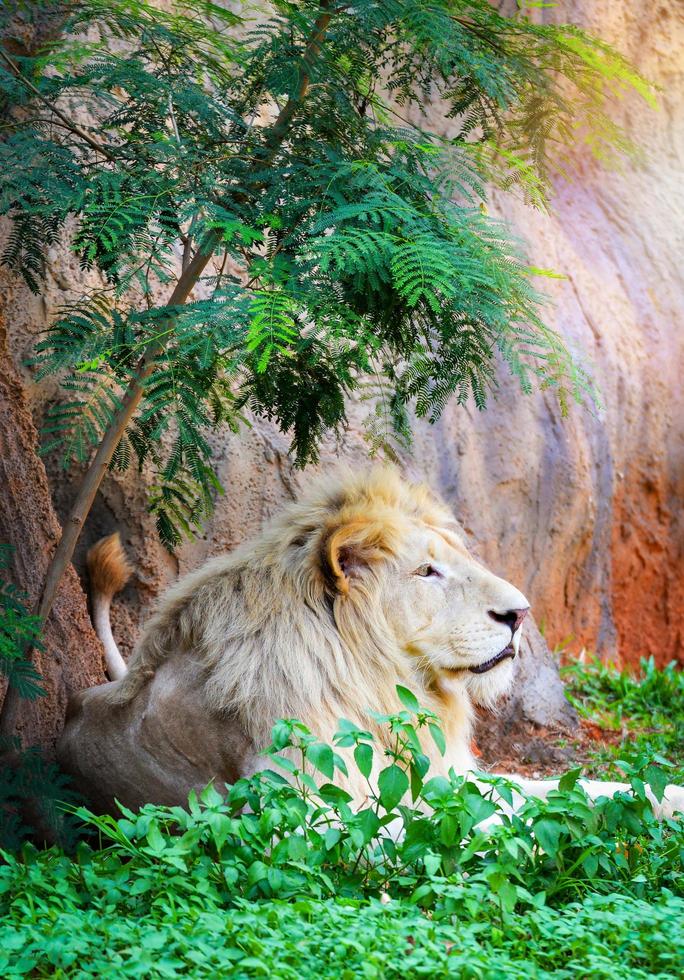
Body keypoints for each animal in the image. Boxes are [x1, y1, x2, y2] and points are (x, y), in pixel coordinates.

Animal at [58, 468, 684, 820]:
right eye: (427, 572)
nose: (521, 614)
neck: (382, 685)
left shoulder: (449, 774)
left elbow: (574, 791)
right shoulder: (306, 821)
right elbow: (480, 827)